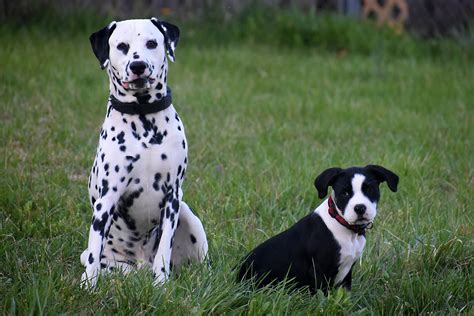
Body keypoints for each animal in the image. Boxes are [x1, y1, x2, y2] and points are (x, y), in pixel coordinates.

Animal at [79, 17, 207, 288]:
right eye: (122, 46)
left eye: (151, 43)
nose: (138, 66)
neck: (143, 118)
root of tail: (139, 266)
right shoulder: (107, 198)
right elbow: (94, 248)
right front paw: (87, 287)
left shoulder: (172, 197)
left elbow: (164, 249)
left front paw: (161, 284)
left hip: (188, 215)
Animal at [239, 165, 398, 294]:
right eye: (345, 193)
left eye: (370, 189)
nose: (360, 208)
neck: (344, 227)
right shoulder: (319, 271)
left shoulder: (347, 274)